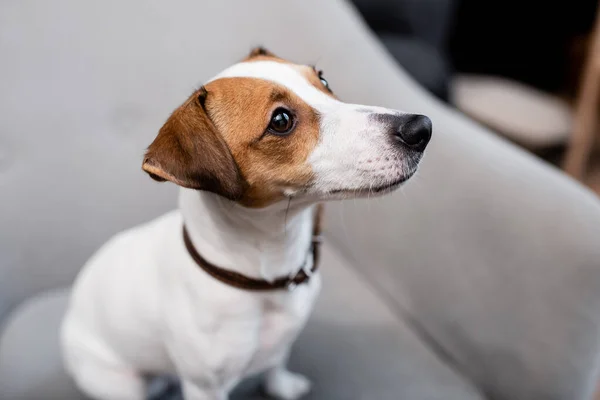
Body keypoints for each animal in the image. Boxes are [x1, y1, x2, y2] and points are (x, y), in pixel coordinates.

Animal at [61, 47, 432, 400]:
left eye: (323, 79)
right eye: (280, 120)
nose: (422, 127)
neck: (265, 278)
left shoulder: (282, 341)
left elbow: (276, 365)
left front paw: (281, 386)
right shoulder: (205, 388)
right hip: (120, 383)